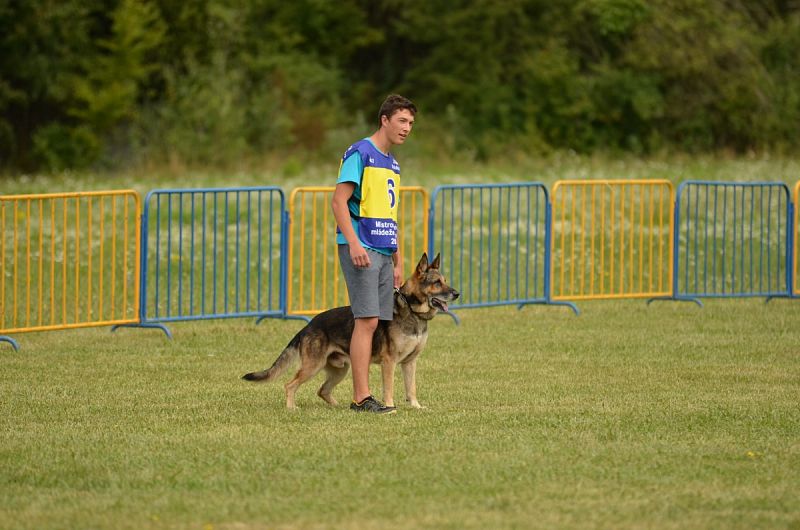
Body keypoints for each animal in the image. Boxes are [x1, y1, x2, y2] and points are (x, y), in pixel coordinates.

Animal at [242, 252, 456, 408]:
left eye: (445, 280)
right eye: (437, 283)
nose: (457, 293)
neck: (412, 310)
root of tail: (308, 325)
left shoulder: (410, 362)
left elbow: (411, 388)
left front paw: (416, 407)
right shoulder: (389, 362)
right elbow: (389, 388)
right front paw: (389, 406)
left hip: (340, 370)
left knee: (322, 390)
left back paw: (339, 407)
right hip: (313, 367)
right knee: (290, 385)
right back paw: (291, 407)